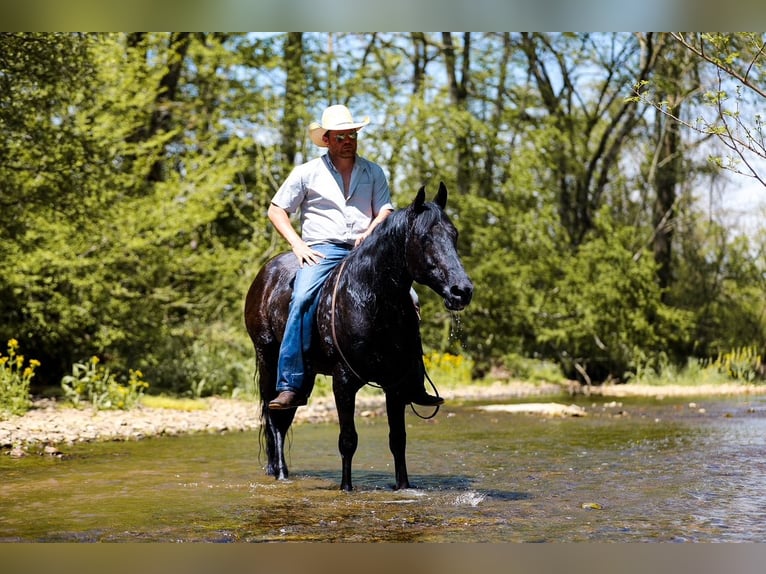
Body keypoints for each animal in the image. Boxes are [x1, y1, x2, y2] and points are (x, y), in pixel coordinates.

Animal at [243, 182, 473, 491]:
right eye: (425, 238)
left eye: (454, 234)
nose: (462, 291)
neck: (368, 299)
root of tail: (265, 275)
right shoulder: (343, 382)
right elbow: (348, 440)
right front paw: (346, 488)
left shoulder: (395, 385)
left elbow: (398, 440)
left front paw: (403, 487)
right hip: (268, 361)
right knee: (274, 417)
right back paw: (279, 473)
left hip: (305, 374)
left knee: (286, 411)